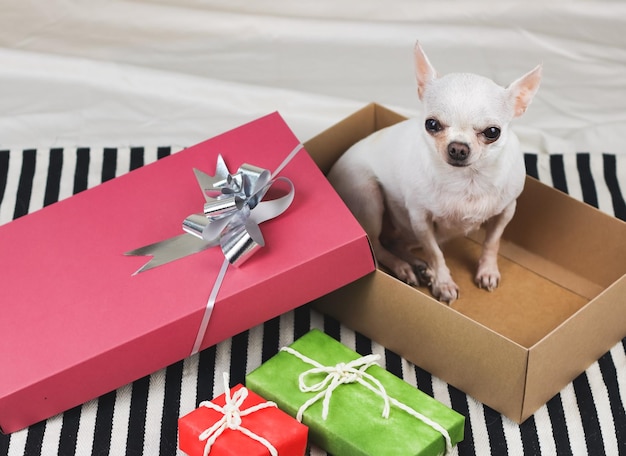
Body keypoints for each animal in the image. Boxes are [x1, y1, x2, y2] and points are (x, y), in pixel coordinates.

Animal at [330, 42, 540, 302]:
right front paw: (443, 283)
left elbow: (492, 241)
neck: (468, 181)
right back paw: (403, 267)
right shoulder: (421, 219)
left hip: (413, 231)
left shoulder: (506, 211)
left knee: (394, 242)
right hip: (369, 196)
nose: (458, 147)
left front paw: (488, 271)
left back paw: (417, 265)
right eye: (431, 124)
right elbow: (435, 253)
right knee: (377, 246)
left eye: (493, 132)